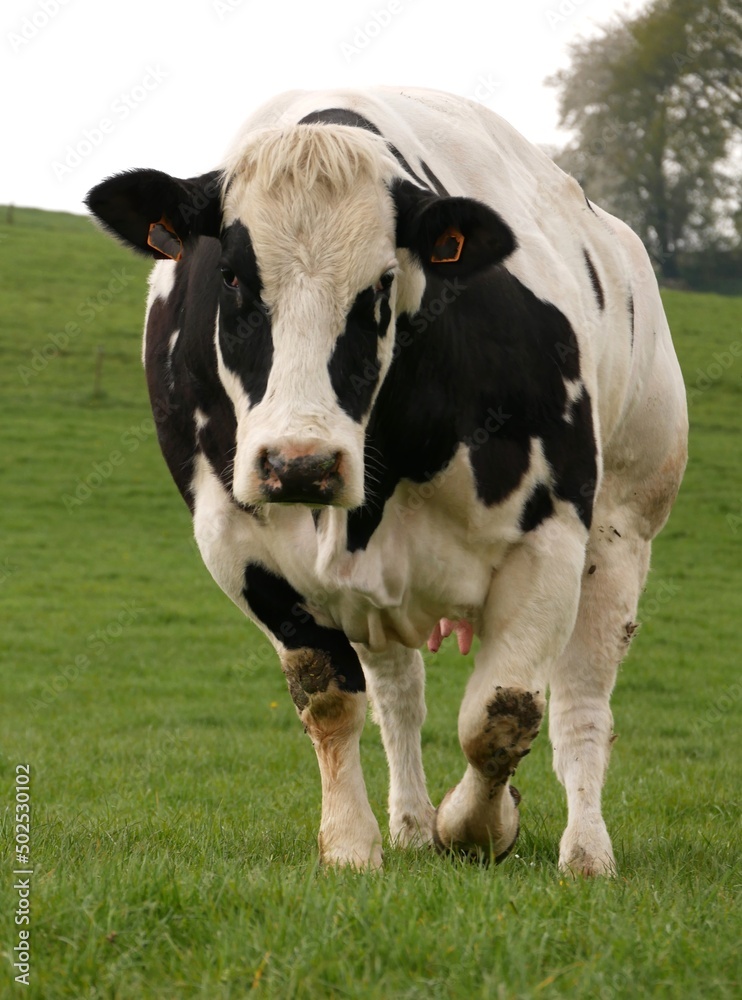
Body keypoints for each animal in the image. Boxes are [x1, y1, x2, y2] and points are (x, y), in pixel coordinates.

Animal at [87, 90, 692, 880]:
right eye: (232, 278)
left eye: (380, 283)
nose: (301, 463)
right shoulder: (237, 543)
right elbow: (328, 696)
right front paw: (352, 843)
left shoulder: (551, 534)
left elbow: (502, 713)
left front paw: (481, 826)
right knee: (399, 696)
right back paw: (409, 824)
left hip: (625, 526)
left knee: (581, 705)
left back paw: (585, 851)